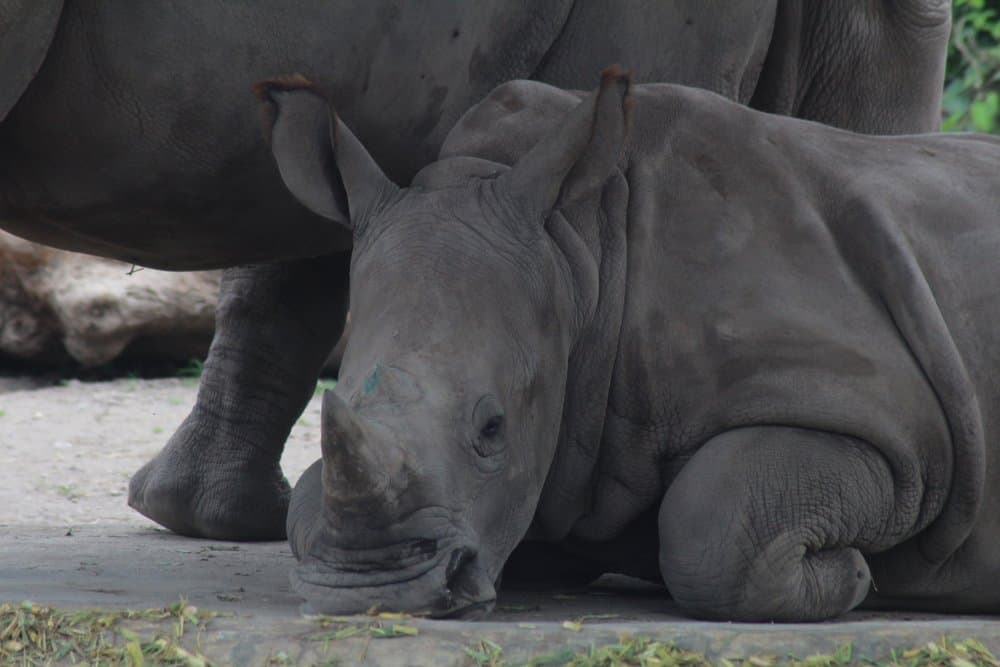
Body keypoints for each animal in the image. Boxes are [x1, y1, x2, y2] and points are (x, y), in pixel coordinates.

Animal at [258, 70, 1000, 624]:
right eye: (339, 397)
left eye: (493, 428)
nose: (373, 594)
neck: (579, 252)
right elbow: (310, 497)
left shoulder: (906, 441)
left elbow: (711, 518)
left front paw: (853, 576)